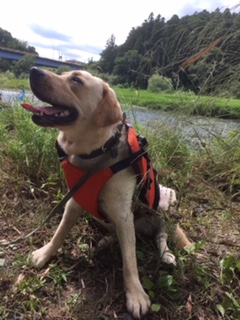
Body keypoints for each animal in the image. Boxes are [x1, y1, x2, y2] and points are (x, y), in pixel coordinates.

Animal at [22, 67, 191, 318]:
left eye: (76, 80)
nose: (34, 70)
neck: (97, 153)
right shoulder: (74, 201)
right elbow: (59, 232)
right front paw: (44, 253)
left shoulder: (123, 214)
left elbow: (130, 261)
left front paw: (136, 295)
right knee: (125, 235)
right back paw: (107, 241)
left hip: (167, 199)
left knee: (160, 236)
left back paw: (167, 255)